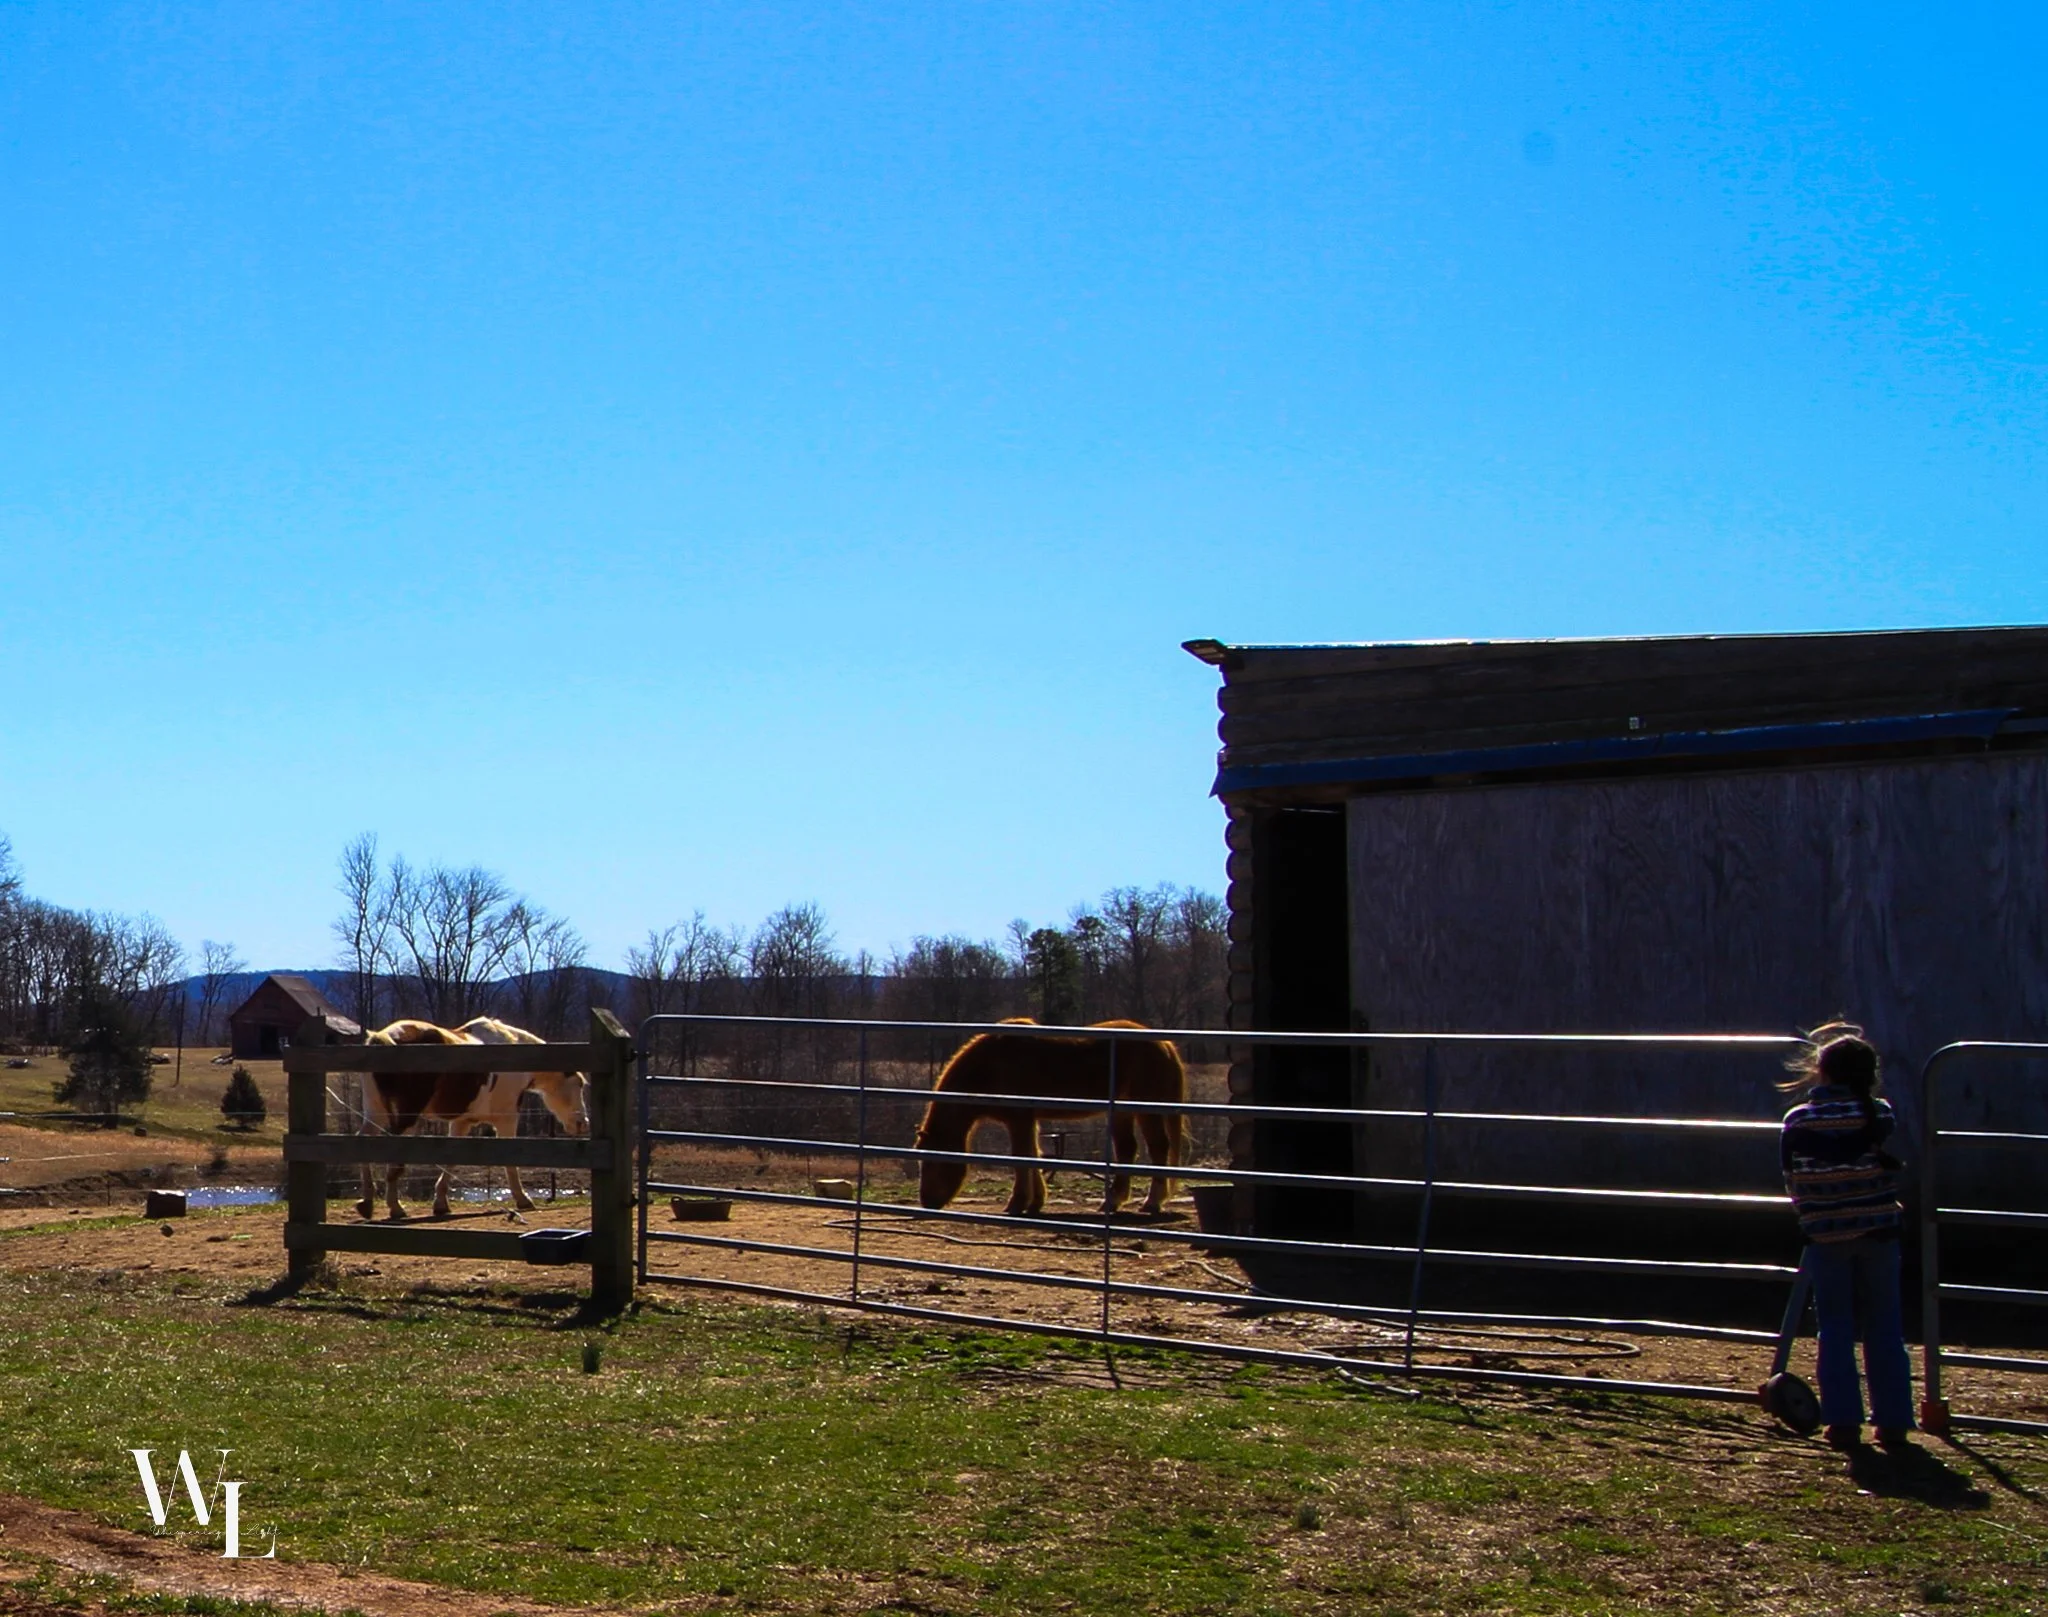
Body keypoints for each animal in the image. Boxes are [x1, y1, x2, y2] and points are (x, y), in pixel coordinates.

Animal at [354, 1017, 589, 1220]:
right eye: (579, 1084)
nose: (582, 1124)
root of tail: (384, 1038)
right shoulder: (507, 1120)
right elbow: (510, 1162)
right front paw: (523, 1200)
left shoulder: (462, 1122)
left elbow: (450, 1161)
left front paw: (441, 1204)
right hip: (406, 1120)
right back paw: (395, 1208)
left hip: (376, 1114)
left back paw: (367, 1204)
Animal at [914, 1019, 1189, 1217]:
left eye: (933, 1162)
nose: (927, 1202)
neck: (992, 1064)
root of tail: (1163, 1044)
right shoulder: (1027, 1121)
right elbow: (1033, 1155)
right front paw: (1035, 1203)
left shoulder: (1019, 1120)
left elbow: (1021, 1157)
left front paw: (1017, 1204)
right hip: (1123, 1112)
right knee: (1126, 1149)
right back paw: (1112, 1202)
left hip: (1146, 1111)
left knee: (1158, 1147)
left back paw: (1152, 1202)